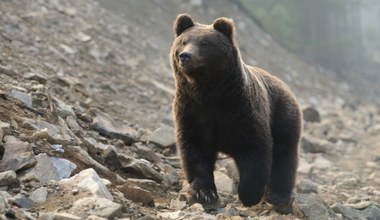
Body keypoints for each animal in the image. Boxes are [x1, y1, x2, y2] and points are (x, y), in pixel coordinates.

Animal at [171, 13, 302, 211]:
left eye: (205, 43)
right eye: (183, 41)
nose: (185, 56)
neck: (209, 92)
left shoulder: (241, 111)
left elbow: (254, 149)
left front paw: (249, 195)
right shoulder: (193, 109)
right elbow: (196, 147)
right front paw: (204, 192)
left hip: (283, 115)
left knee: (284, 154)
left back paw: (278, 196)